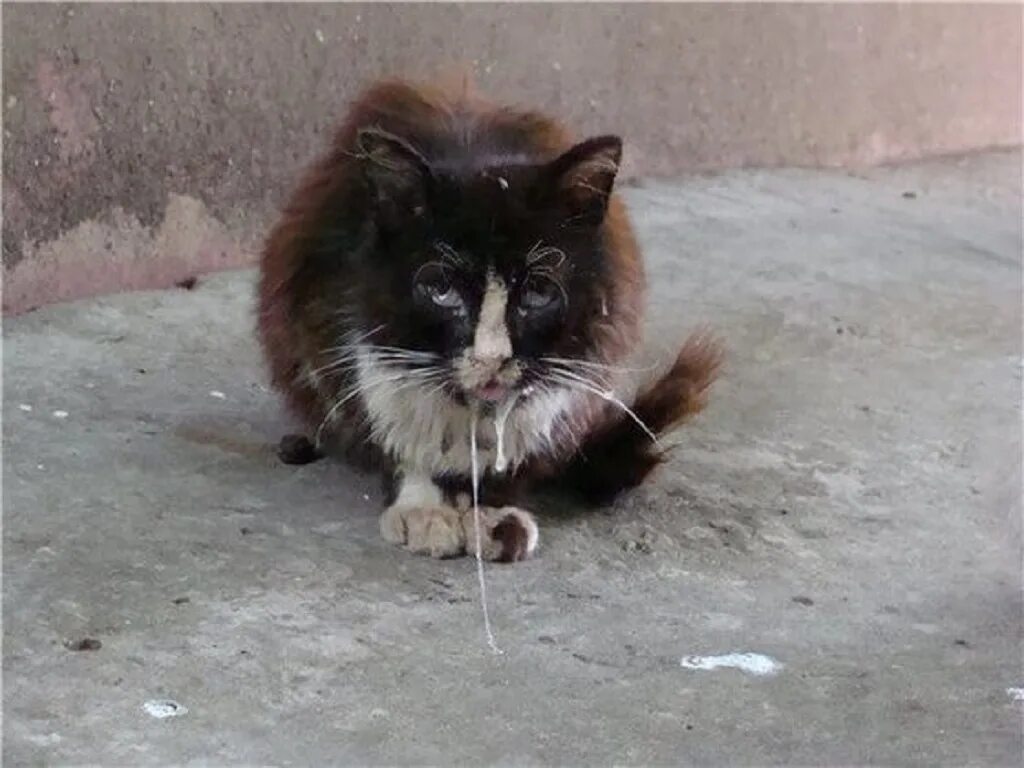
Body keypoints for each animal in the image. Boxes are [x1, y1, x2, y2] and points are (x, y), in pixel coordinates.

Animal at [256, 78, 720, 565]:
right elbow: (389, 413)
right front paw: (424, 508)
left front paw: (494, 514)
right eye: (441, 290)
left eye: (538, 291)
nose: (493, 357)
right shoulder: (334, 316)